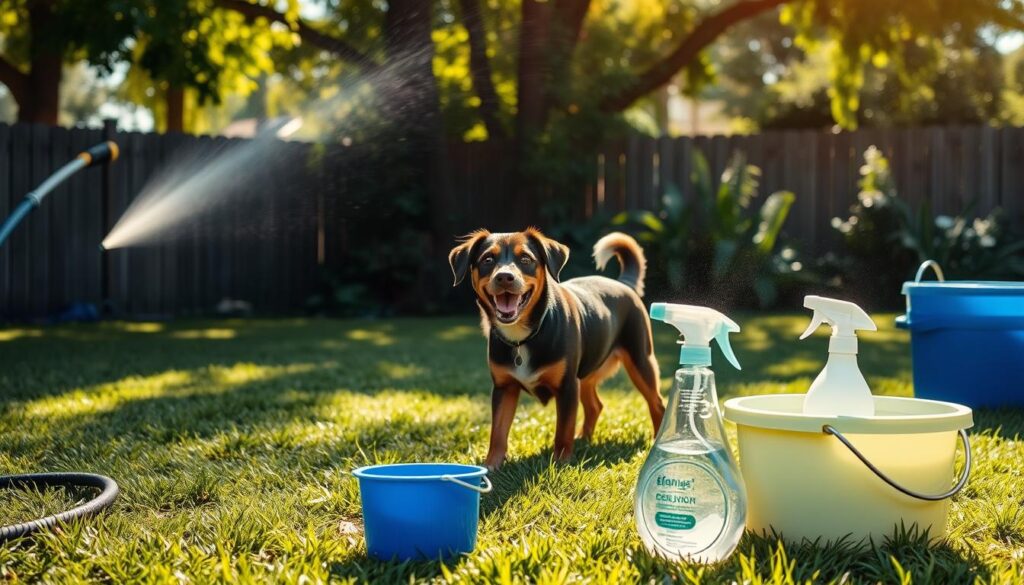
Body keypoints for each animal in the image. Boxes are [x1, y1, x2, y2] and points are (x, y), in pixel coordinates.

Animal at [448, 226, 663, 469]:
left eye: (525, 259)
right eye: (487, 260)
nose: (504, 277)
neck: (524, 336)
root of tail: (623, 283)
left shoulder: (567, 386)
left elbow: (563, 430)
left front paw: (561, 463)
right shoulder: (504, 388)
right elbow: (498, 432)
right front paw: (491, 466)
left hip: (641, 361)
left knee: (657, 403)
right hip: (586, 373)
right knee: (595, 406)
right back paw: (584, 439)